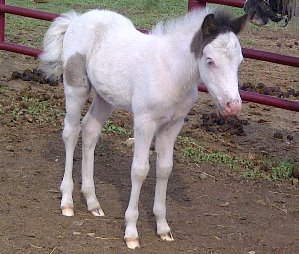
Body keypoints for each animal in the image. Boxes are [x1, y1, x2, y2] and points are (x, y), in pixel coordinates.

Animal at [40, 7, 248, 248]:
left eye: (240, 61)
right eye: (210, 60)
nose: (233, 106)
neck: (171, 73)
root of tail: (77, 19)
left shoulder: (173, 124)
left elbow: (165, 168)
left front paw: (163, 227)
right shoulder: (144, 122)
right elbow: (140, 170)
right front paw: (131, 232)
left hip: (105, 96)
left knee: (90, 129)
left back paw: (92, 202)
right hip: (76, 88)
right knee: (71, 132)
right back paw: (67, 201)